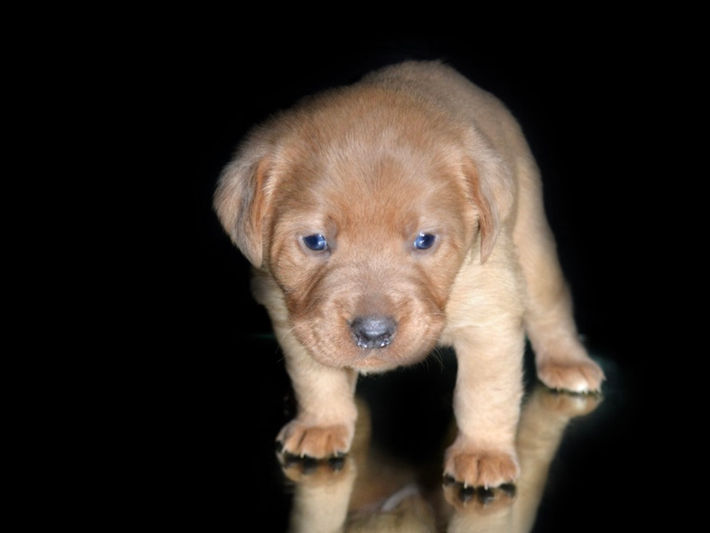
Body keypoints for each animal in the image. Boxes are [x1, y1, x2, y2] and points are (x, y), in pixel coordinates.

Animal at [214, 61, 604, 489]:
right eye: (315, 241)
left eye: (424, 240)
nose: (373, 334)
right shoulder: (293, 317)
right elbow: (316, 379)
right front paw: (322, 424)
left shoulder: (491, 317)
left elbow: (484, 394)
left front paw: (483, 452)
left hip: (532, 247)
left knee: (551, 309)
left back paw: (568, 362)